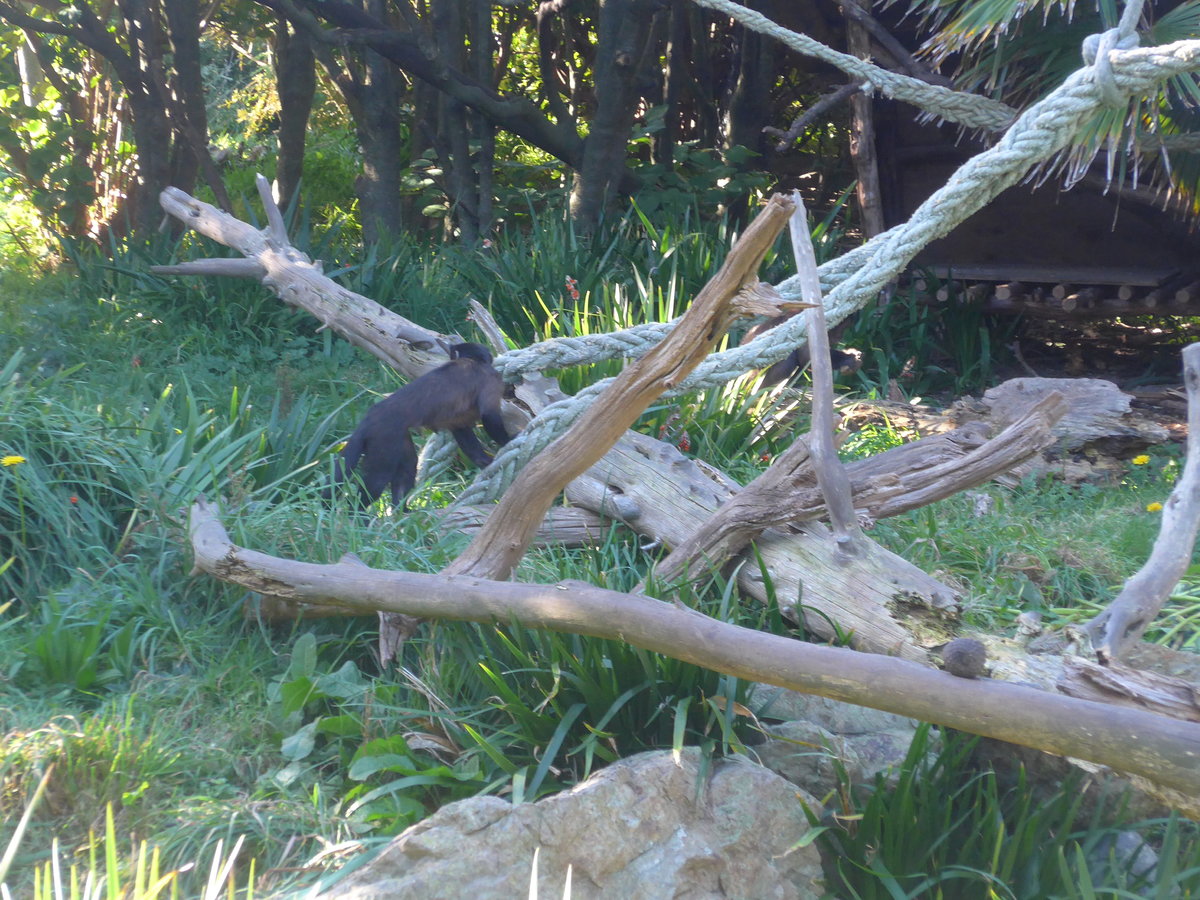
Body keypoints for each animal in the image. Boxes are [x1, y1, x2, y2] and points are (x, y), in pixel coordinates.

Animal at [327, 342, 511, 510]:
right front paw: (509, 441)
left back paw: (401, 512)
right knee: (375, 482)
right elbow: (489, 415)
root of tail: (369, 418)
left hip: (398, 439)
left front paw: (486, 461)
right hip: (384, 441)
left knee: (407, 469)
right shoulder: (491, 379)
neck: (472, 360)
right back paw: (360, 516)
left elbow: (465, 437)